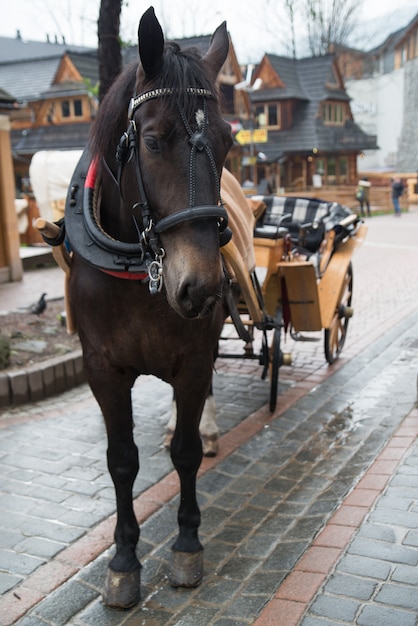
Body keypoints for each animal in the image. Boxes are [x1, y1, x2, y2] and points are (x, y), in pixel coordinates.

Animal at [65, 6, 232, 608]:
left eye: (229, 143)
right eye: (154, 141)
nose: (201, 288)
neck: (139, 273)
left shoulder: (194, 358)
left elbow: (185, 452)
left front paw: (186, 544)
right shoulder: (102, 369)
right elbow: (121, 460)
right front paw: (123, 559)